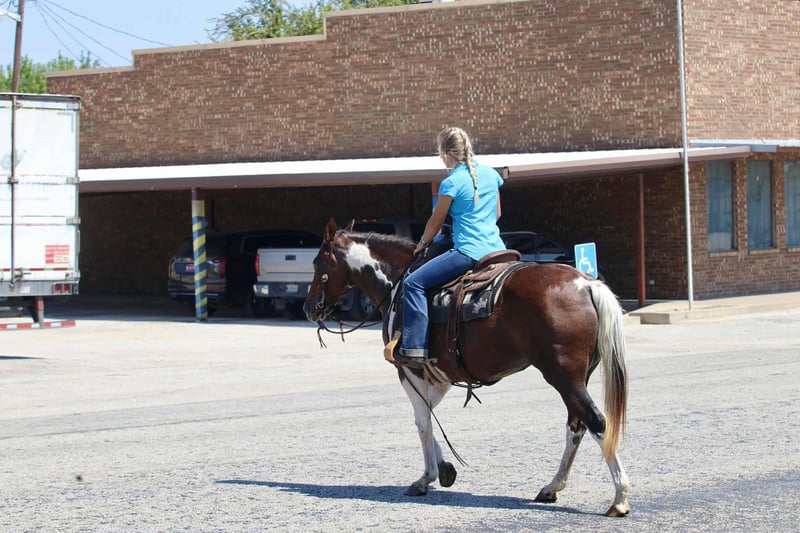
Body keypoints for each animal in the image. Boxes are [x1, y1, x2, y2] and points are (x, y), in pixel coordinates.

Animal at [303, 219, 630, 517]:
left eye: (318, 262)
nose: (309, 307)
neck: (398, 283)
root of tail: (586, 284)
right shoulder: (440, 376)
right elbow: (426, 417)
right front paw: (445, 467)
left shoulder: (409, 370)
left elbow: (422, 422)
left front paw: (426, 478)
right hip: (577, 377)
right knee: (576, 426)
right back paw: (552, 487)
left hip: (563, 376)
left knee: (597, 422)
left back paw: (619, 498)